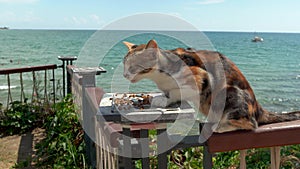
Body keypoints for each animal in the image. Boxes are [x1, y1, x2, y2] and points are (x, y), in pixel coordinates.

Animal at [122, 39, 300, 132]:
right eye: (124, 64)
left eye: (133, 66)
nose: (124, 75)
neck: (159, 76)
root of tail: (258, 107)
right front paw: (159, 96)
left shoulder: (200, 77)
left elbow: (176, 91)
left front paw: (165, 99)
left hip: (228, 92)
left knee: (251, 124)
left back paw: (218, 126)